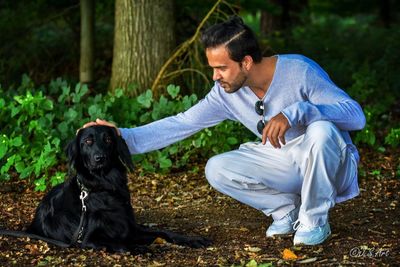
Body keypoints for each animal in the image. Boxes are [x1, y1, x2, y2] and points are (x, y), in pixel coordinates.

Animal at [0, 125, 211, 253]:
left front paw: (191, 239)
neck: (105, 186)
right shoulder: (89, 240)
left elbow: (163, 232)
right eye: (87, 141)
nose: (99, 158)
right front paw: (140, 248)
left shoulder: (130, 226)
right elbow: (120, 243)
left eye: (108, 140)